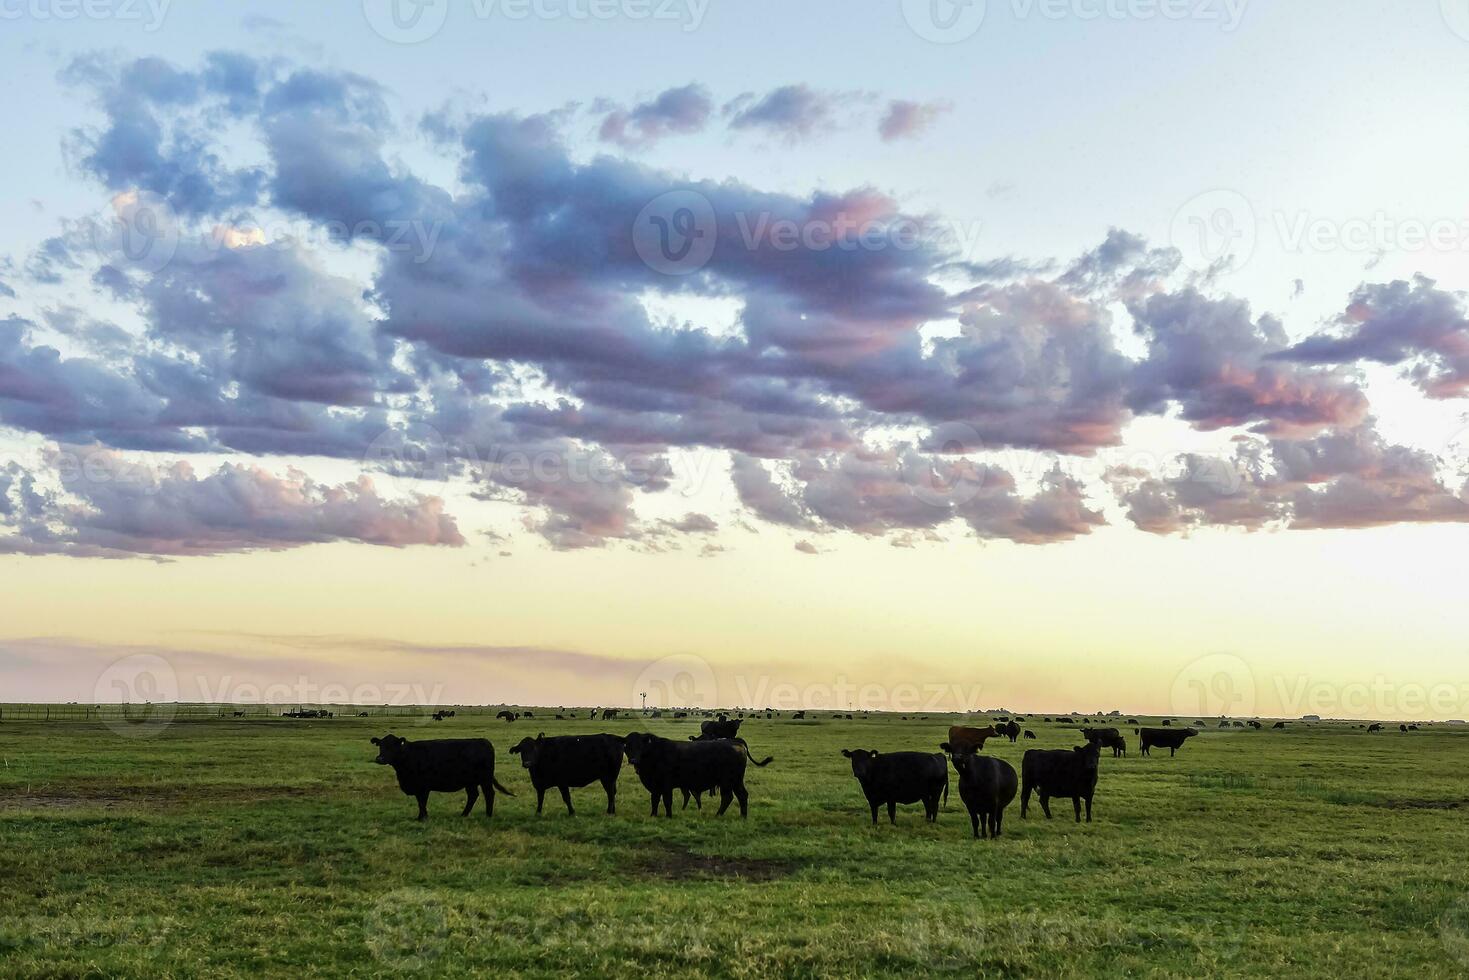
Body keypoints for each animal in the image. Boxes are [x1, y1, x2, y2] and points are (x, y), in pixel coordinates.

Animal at [370, 734, 514, 822]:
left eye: (393, 746)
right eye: (380, 745)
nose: (380, 758)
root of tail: (484, 741)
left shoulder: (423, 786)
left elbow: (422, 802)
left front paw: (423, 818)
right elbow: (420, 802)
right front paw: (420, 817)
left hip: (485, 779)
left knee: (489, 794)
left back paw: (488, 815)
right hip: (470, 781)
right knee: (473, 795)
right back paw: (464, 814)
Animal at [616, 731, 769, 816]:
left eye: (640, 746)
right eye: (627, 746)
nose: (633, 760)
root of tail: (737, 743)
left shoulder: (666, 785)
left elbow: (667, 801)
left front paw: (669, 816)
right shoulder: (655, 786)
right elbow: (654, 800)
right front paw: (653, 815)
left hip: (728, 782)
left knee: (728, 797)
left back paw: (718, 815)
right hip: (736, 781)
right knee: (741, 795)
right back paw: (742, 816)